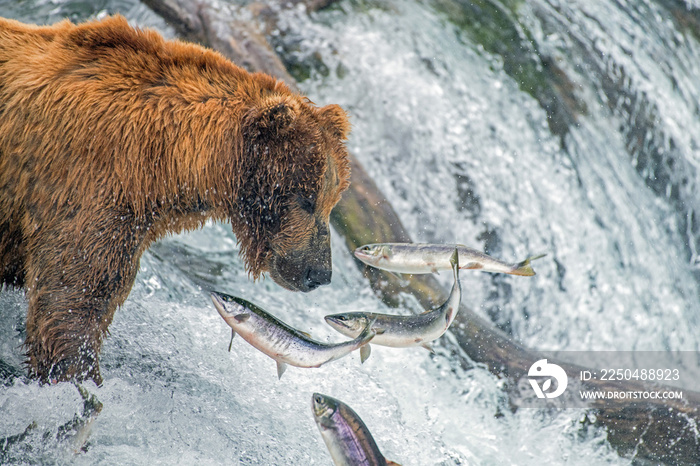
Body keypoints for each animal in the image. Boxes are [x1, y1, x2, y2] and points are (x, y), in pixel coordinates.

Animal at [0, 16, 350, 384]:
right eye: (306, 198)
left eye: (331, 200)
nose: (319, 272)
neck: (166, 162)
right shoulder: (88, 185)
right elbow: (73, 297)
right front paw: (76, 375)